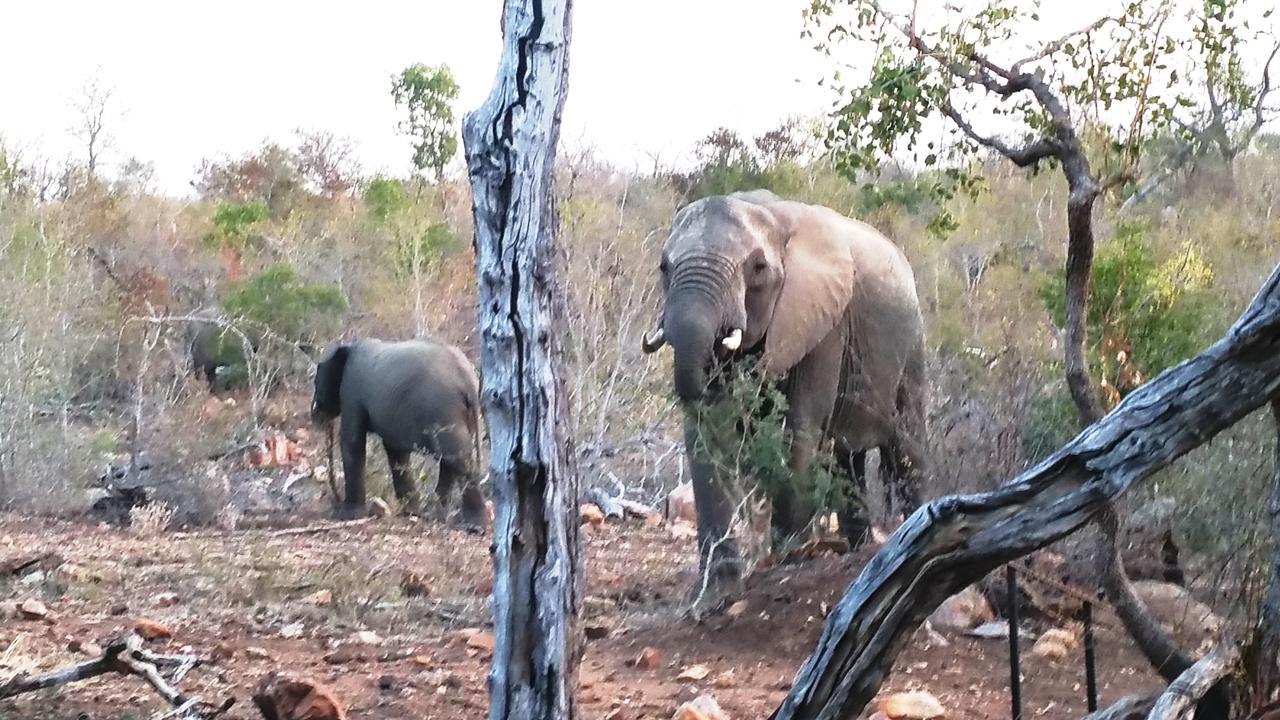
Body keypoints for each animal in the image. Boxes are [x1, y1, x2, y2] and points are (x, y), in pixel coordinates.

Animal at [312, 335, 486, 527]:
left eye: (316, 381)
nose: (316, 415)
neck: (348, 347)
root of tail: (467, 380)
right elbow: (395, 451)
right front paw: (411, 511)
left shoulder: (352, 391)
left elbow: (352, 441)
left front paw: (347, 516)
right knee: (450, 461)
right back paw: (435, 515)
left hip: (444, 411)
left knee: (457, 459)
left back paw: (474, 525)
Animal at [640, 188, 931, 602]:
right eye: (664, 267)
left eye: (758, 268)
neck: (769, 214)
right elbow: (708, 428)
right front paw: (715, 594)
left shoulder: (825, 322)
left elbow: (800, 424)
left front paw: (790, 558)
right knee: (847, 459)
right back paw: (858, 551)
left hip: (912, 343)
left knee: (906, 448)